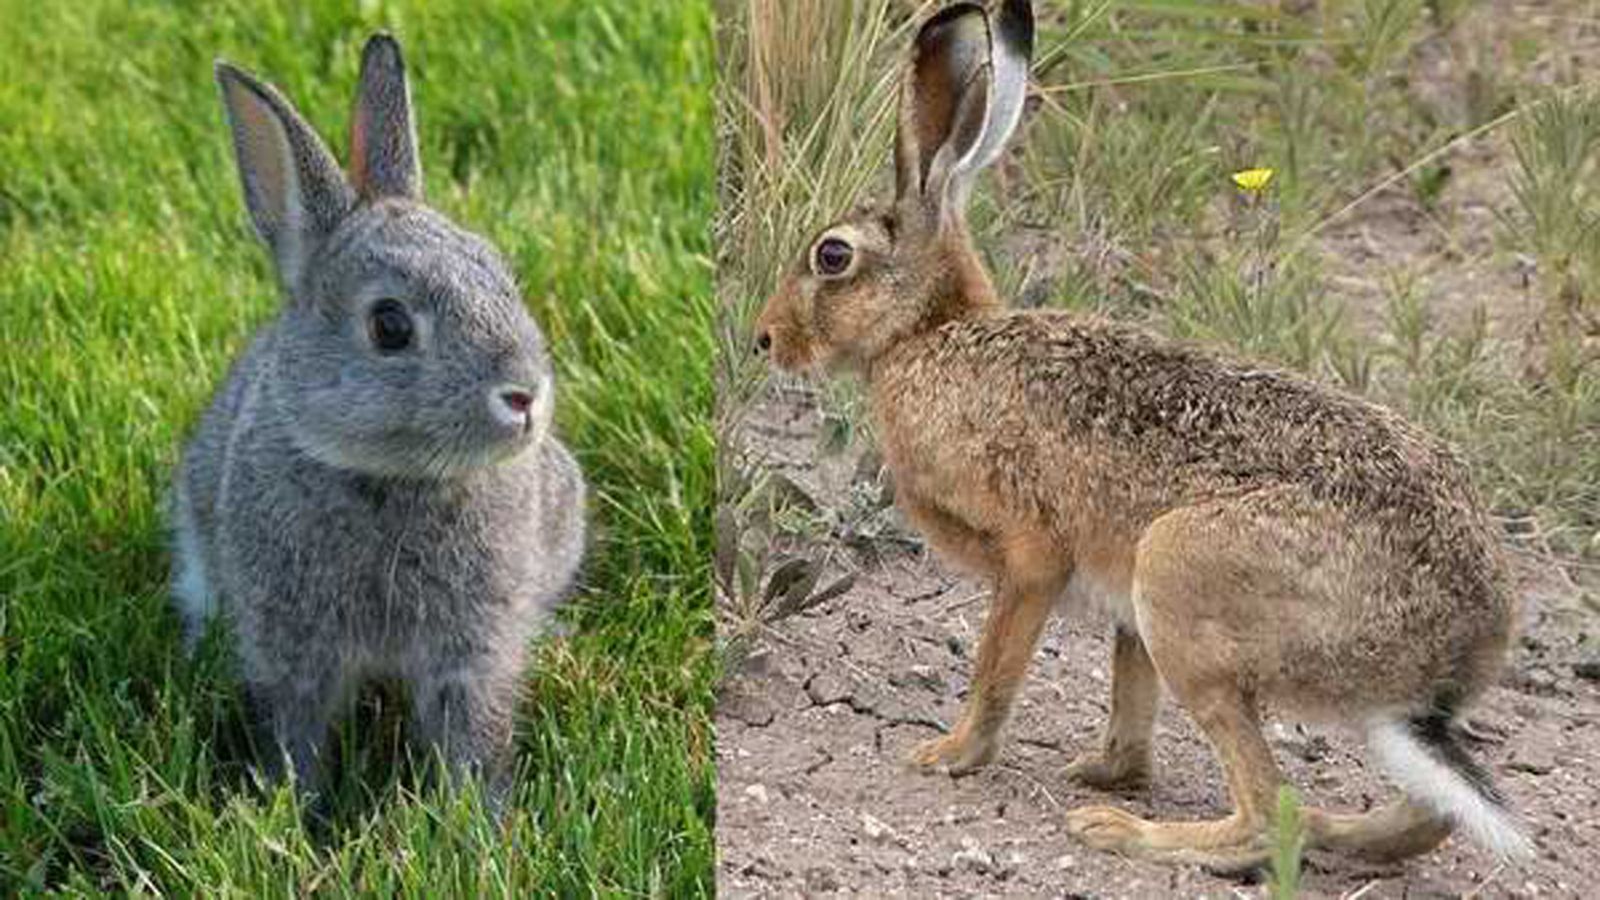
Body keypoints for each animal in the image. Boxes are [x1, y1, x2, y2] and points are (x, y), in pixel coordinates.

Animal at [170, 33, 585, 803]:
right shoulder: (291, 646)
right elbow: (297, 733)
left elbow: (470, 733)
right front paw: (293, 810)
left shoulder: (472, 651)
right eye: (389, 325)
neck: (392, 479)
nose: (525, 395)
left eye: (501, 276)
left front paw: (477, 818)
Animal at [754, 0, 1529, 871]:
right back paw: (1330, 828)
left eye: (832, 256)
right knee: (1418, 816)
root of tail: (1454, 652)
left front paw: (950, 755)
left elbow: (995, 668)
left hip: (1178, 576)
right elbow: (1128, 712)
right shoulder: (1120, 605)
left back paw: (1126, 833)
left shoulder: (1032, 554)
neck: (927, 334)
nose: (765, 339)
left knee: (1269, 814)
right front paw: (1102, 770)